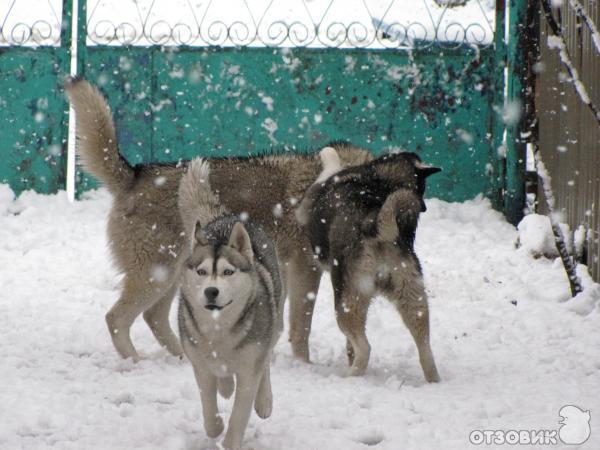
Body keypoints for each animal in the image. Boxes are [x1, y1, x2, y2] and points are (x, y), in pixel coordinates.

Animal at [64, 75, 370, 360]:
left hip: (174, 274)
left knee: (154, 317)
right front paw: (303, 366)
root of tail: (135, 174)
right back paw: (137, 362)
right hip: (157, 276)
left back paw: (182, 358)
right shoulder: (305, 269)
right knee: (116, 318)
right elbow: (300, 328)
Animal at [177, 157, 282, 446]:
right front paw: (215, 426)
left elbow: (240, 414)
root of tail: (227, 217)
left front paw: (231, 440)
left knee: (266, 361)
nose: (211, 291)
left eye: (227, 272)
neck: (219, 328)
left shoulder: (249, 367)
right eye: (202, 272)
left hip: (275, 320)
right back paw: (225, 386)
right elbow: (208, 403)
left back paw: (265, 401)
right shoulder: (200, 365)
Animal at [298, 149, 442, 382]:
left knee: (365, 348)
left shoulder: (309, 199)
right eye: (421, 190)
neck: (377, 179)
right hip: (414, 301)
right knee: (425, 350)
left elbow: (330, 163)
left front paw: (328, 153)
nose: (424, 208)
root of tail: (377, 229)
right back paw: (433, 380)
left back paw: (351, 377)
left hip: (346, 303)